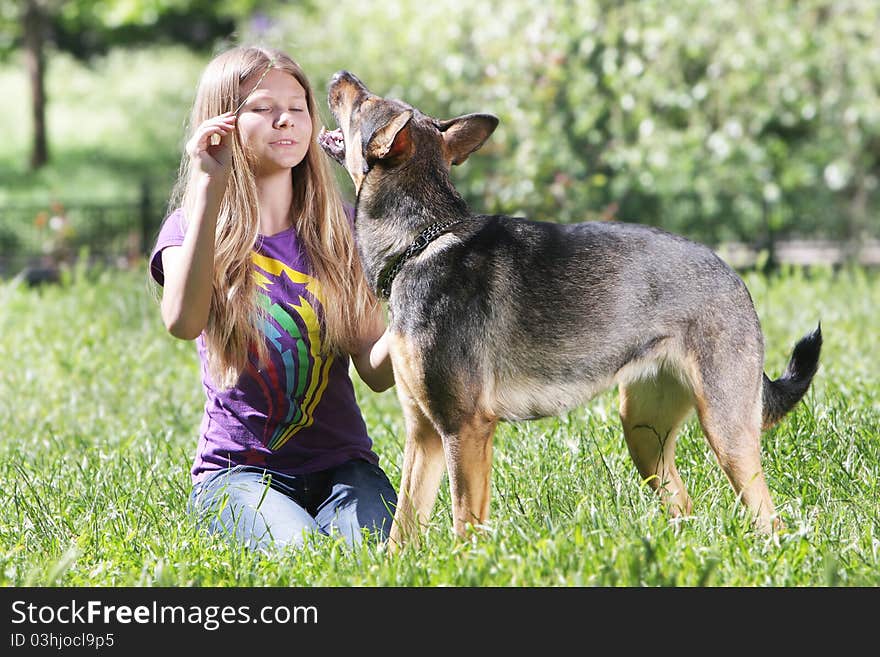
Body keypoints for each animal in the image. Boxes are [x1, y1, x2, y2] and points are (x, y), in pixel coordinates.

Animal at [320, 70, 820, 544]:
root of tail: (734, 277)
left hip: (726, 431)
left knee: (767, 517)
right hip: (643, 433)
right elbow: (402, 531)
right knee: (684, 505)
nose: (340, 75)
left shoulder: (465, 429)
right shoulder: (424, 434)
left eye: (363, 100)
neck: (420, 243)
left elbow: (465, 524)